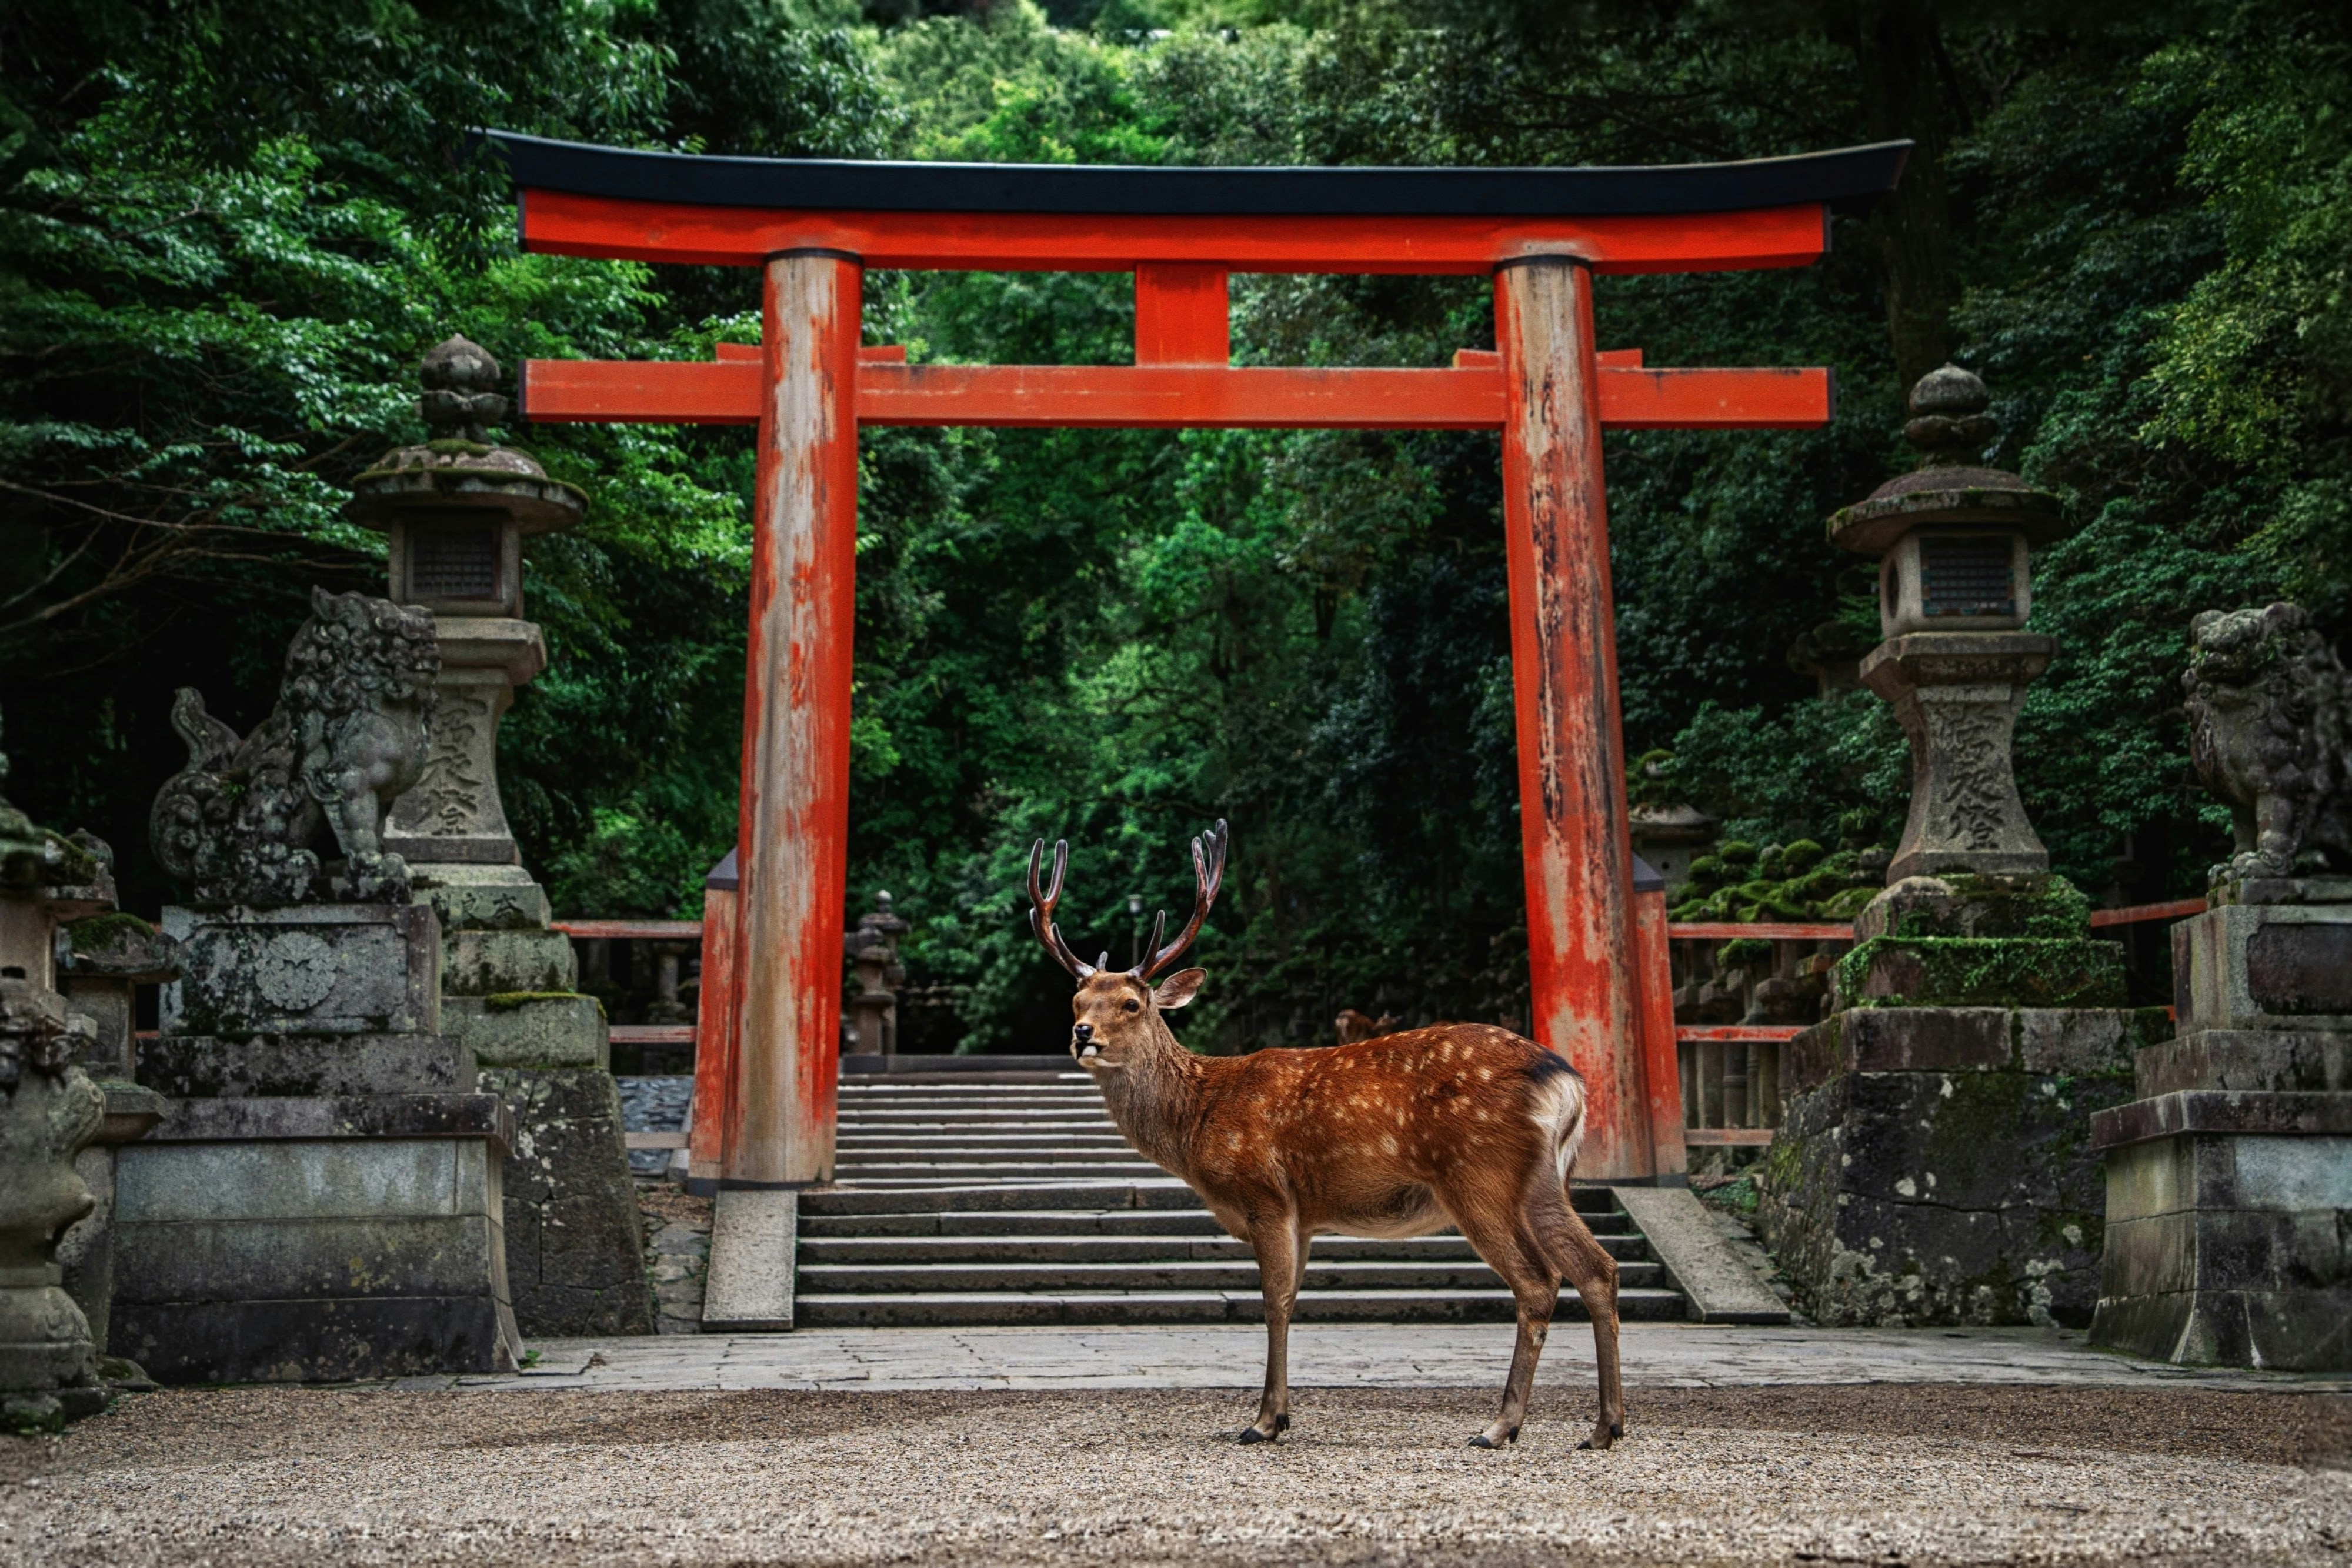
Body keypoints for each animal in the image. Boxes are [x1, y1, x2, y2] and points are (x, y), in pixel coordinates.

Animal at [1028, 821, 1624, 1451]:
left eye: (1131, 1003)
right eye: (1076, 999)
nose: (1082, 1034)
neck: (1199, 1120)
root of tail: (1566, 1081)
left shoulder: (1265, 1193)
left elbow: (1272, 1301)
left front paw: (1264, 1421)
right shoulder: (1306, 1214)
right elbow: (1292, 1300)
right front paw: (1280, 1415)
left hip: (1478, 1175)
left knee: (1538, 1281)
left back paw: (1500, 1426)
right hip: (1547, 1180)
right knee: (1596, 1268)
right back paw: (1604, 1427)